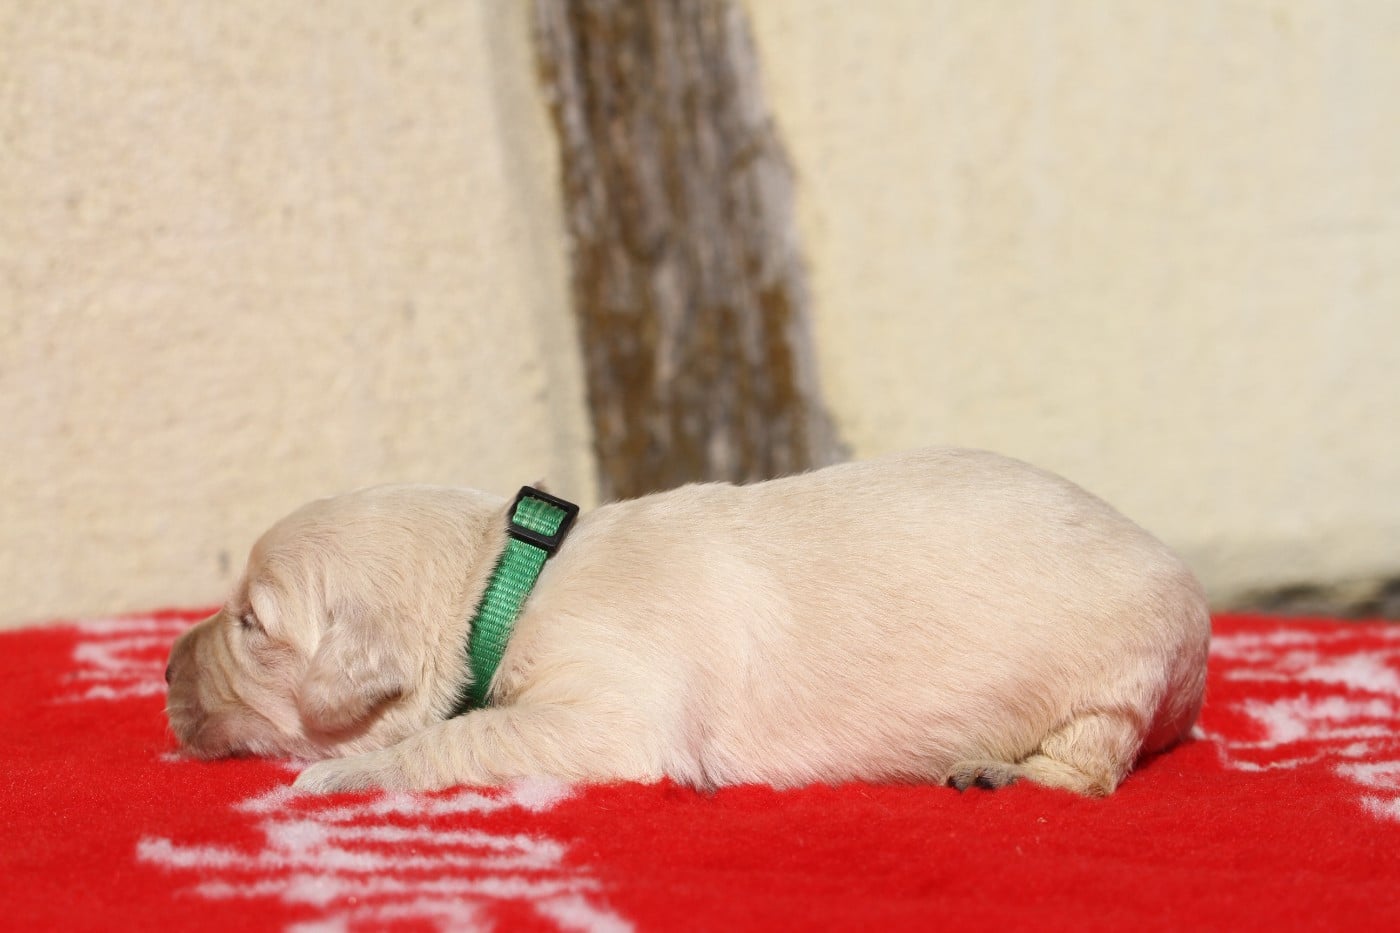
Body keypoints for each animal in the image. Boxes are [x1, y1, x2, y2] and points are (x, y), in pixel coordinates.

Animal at [165, 447, 1210, 796]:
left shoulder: (612, 712)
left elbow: (467, 735)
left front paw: (340, 774)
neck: (503, 579)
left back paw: (1002, 769)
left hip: (1121, 674)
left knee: (1090, 770)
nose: (164, 667)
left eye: (252, 622)